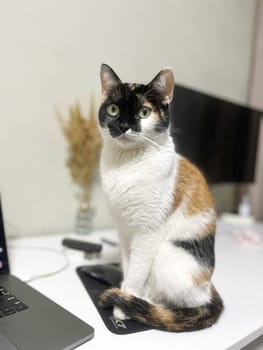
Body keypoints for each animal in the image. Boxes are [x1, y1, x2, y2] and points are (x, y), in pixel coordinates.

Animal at [98, 64, 224, 332]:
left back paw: (144, 302)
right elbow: (129, 267)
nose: (123, 125)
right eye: (113, 110)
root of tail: (209, 288)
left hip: (167, 255)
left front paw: (123, 305)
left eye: (144, 112)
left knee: (181, 302)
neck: (126, 165)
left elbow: (136, 274)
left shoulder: (147, 233)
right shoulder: (125, 232)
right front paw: (124, 292)